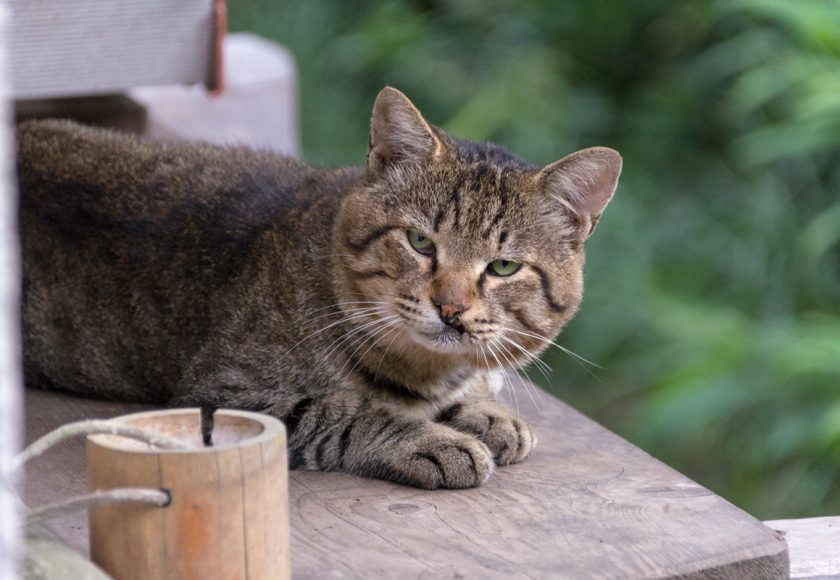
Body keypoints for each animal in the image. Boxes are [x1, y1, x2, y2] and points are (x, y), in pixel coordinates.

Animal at [16, 88, 620, 490]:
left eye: (502, 267)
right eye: (420, 241)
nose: (450, 308)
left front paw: (485, 410)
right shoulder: (220, 398)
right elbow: (346, 413)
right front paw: (432, 439)